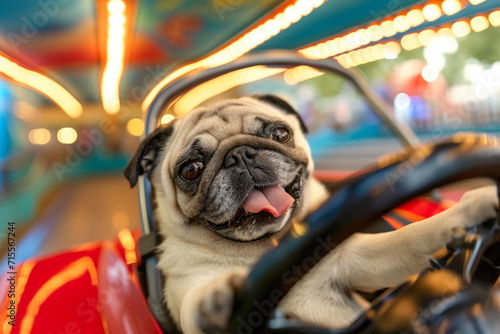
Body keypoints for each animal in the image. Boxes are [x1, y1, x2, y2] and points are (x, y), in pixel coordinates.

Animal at [123, 95, 498, 332]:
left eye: (280, 133)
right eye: (191, 169)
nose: (240, 155)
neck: (263, 250)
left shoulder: (355, 258)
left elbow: (413, 236)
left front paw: (472, 207)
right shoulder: (186, 293)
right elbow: (197, 304)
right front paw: (216, 298)